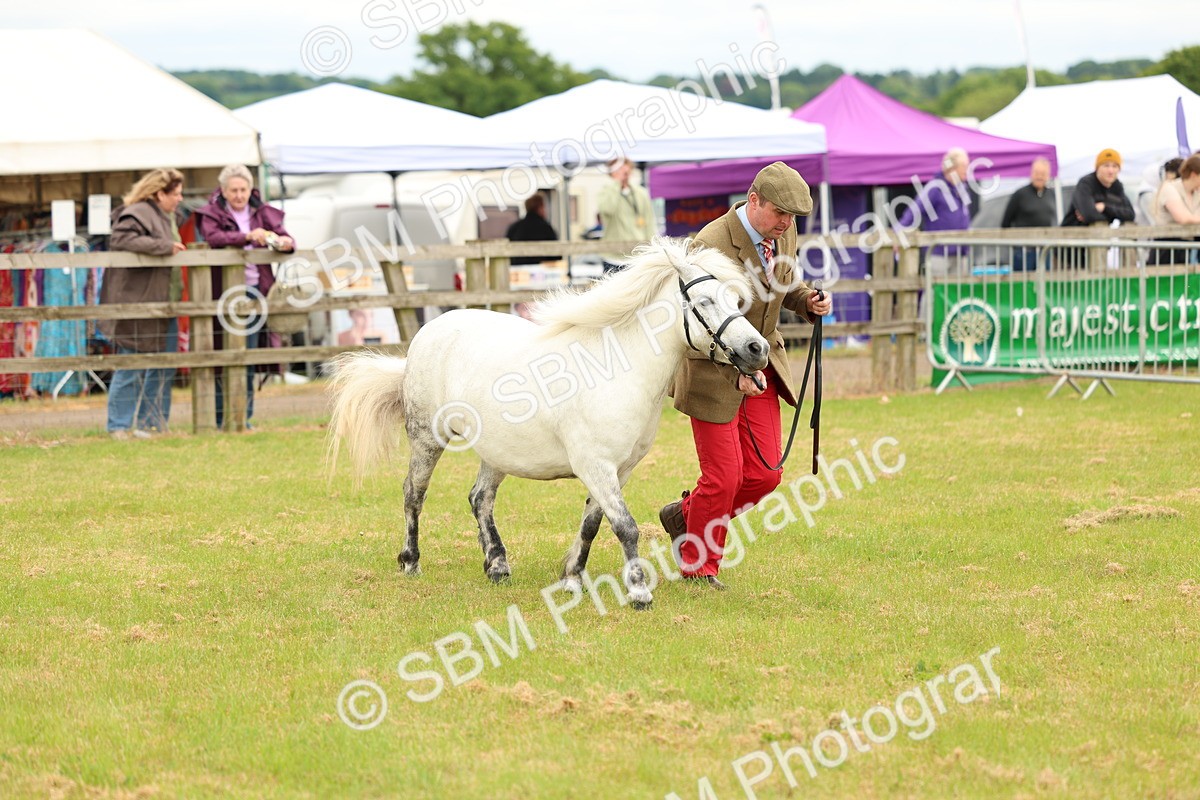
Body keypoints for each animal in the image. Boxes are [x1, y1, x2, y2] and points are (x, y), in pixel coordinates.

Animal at [327, 236, 769, 608]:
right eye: (706, 301)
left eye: (736, 300)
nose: (757, 349)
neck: (616, 370)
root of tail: (427, 332)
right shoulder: (597, 466)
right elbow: (625, 526)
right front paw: (639, 592)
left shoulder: (619, 470)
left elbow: (592, 524)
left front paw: (572, 579)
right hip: (426, 439)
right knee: (413, 495)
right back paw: (411, 561)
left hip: (496, 452)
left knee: (480, 499)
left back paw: (497, 566)